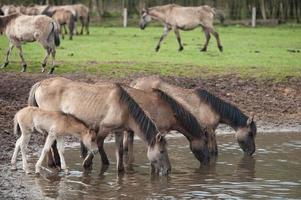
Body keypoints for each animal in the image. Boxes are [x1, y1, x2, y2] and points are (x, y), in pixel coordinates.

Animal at [28, 77, 173, 174]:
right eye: (162, 151)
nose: (168, 169)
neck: (123, 107)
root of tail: (41, 83)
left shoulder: (118, 131)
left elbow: (120, 150)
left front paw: (120, 170)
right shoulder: (104, 128)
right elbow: (97, 143)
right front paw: (87, 163)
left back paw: (55, 162)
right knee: (49, 140)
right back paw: (53, 163)